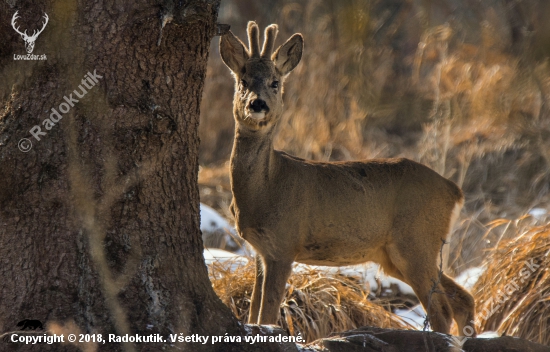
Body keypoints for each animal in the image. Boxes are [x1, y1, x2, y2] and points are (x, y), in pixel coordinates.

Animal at [218, 20, 476, 336]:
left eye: (274, 82)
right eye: (243, 81)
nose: (257, 104)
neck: (266, 189)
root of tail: (454, 191)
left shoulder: (283, 244)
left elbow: (266, 315)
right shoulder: (259, 250)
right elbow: (254, 311)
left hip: (417, 241)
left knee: (441, 310)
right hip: (396, 254)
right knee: (463, 299)